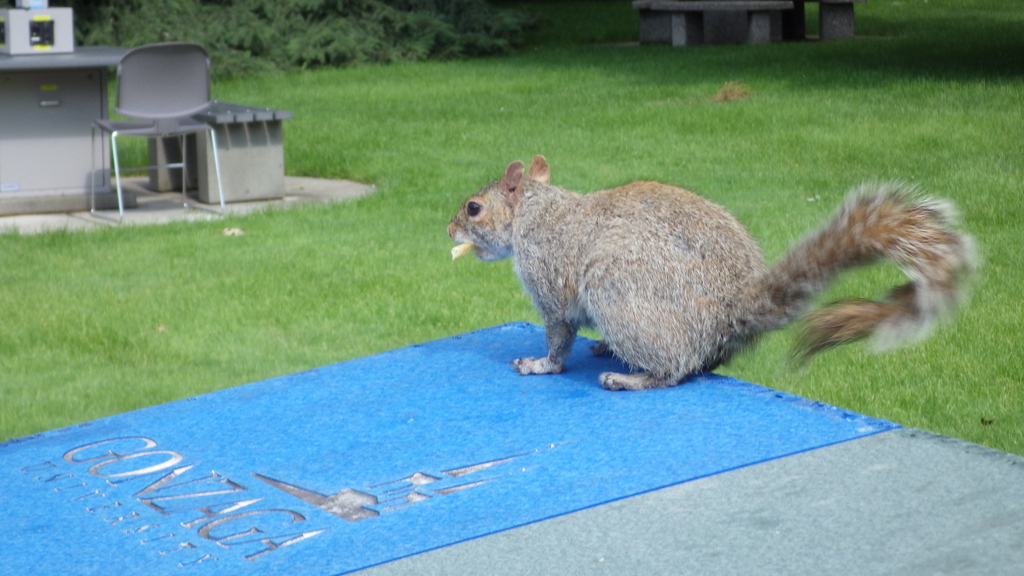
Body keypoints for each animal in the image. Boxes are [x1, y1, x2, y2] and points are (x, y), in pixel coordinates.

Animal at [450, 154, 974, 389]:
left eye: (474, 208)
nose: (450, 228)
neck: (536, 212)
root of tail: (733, 312)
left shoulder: (549, 274)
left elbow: (558, 335)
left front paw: (541, 364)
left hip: (618, 287)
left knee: (676, 368)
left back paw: (631, 377)